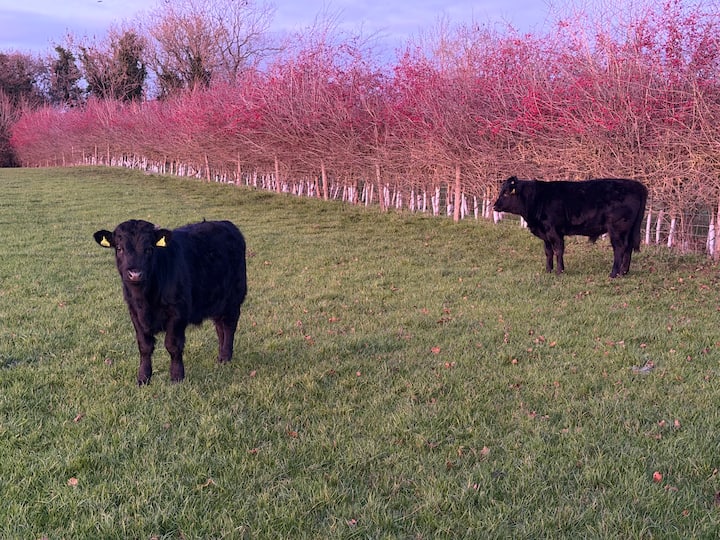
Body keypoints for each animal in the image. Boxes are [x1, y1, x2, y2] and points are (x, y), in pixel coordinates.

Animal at [94, 219, 247, 384]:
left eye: (149, 249)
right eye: (119, 248)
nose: (135, 274)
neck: (145, 299)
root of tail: (226, 224)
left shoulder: (178, 312)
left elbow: (172, 345)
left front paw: (176, 376)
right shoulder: (134, 312)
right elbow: (144, 346)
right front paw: (143, 377)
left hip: (234, 298)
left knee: (229, 326)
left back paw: (225, 356)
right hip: (217, 301)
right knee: (220, 327)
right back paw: (220, 355)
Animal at [493, 176, 648, 278]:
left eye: (506, 193)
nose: (494, 206)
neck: (537, 199)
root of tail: (637, 185)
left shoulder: (553, 231)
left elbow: (558, 250)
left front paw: (559, 271)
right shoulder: (545, 234)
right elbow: (548, 252)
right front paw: (548, 270)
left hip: (617, 229)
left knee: (620, 248)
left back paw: (614, 273)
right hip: (628, 230)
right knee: (628, 247)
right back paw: (624, 272)